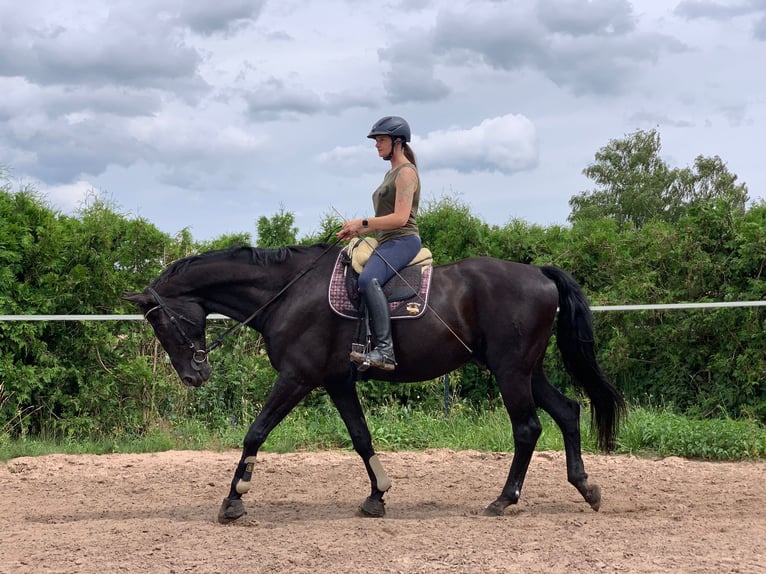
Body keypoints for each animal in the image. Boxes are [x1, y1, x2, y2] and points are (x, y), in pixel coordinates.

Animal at [126, 244, 628, 528]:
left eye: (160, 323)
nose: (194, 375)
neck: (287, 292)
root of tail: (539, 273)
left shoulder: (297, 378)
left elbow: (255, 433)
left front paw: (233, 501)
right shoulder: (336, 382)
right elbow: (361, 437)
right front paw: (377, 496)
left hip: (510, 371)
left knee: (527, 429)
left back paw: (504, 501)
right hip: (525, 370)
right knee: (568, 411)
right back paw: (586, 487)